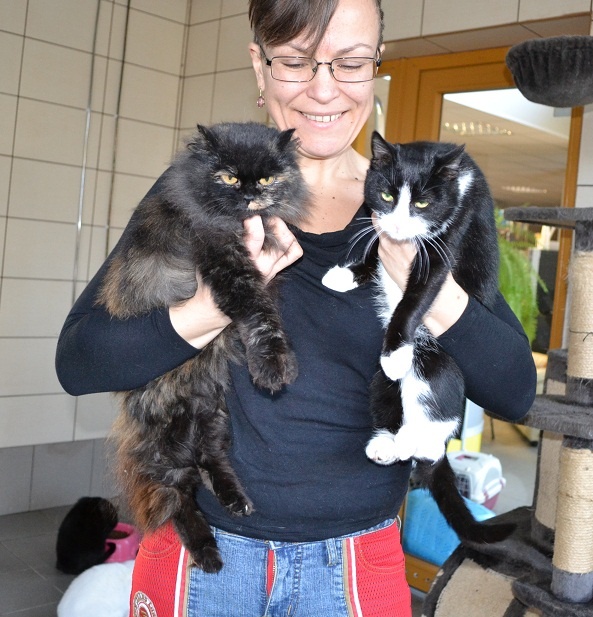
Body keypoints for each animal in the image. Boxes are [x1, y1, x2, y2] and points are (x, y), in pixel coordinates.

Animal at [98, 122, 309, 572]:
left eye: (268, 178)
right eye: (228, 177)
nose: (249, 194)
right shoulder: (226, 262)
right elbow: (260, 316)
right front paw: (273, 367)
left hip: (215, 417)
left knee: (211, 464)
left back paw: (236, 502)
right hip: (163, 450)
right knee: (177, 500)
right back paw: (207, 553)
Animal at [323, 132, 513, 543]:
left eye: (423, 203)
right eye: (387, 196)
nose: (398, 224)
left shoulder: (448, 238)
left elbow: (416, 295)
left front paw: (395, 348)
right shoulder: (380, 229)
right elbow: (376, 247)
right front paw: (347, 273)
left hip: (436, 363)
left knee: (437, 424)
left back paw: (415, 432)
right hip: (380, 384)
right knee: (387, 394)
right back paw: (388, 443)